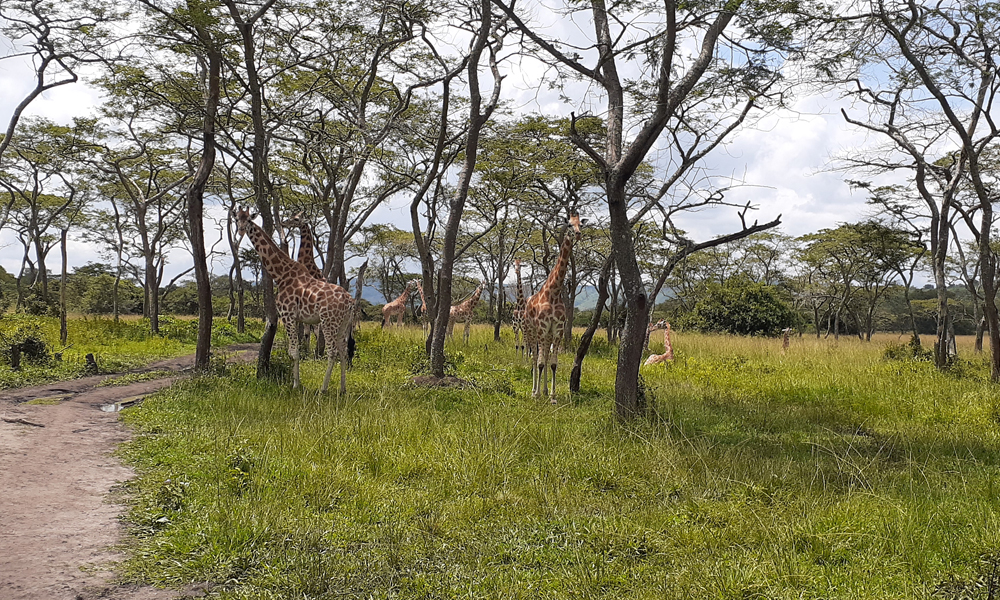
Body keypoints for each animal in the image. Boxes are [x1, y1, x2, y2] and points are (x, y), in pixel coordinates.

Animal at [235, 209, 356, 396]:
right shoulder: (299, 319)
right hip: (342, 324)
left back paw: (323, 389)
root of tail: (350, 302)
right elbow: (298, 347)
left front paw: (295, 385)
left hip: (329, 322)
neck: (280, 275)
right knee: (343, 350)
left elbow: (293, 352)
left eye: (248, 220)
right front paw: (296, 382)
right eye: (236, 219)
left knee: (332, 352)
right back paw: (342, 389)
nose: (241, 230)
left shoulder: (287, 315)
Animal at [520, 213, 584, 400]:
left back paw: (545, 390)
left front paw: (553, 396)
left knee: (546, 357)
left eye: (581, 224)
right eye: (569, 224)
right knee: (535, 358)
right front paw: (536, 395)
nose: (577, 234)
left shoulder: (557, 329)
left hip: (546, 335)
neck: (554, 293)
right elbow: (540, 362)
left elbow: (553, 362)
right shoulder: (542, 327)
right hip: (530, 331)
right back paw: (534, 391)